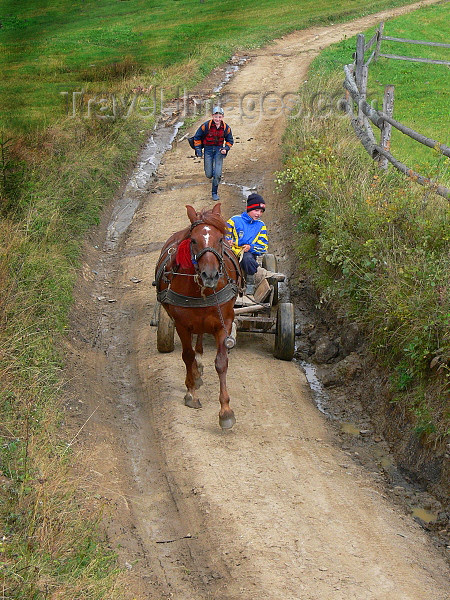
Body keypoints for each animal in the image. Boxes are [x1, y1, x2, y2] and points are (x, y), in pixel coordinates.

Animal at [154, 204, 243, 428]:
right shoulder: (181, 324)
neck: (201, 290)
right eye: (193, 240)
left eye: (220, 239)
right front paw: (191, 393)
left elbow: (221, 362)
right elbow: (187, 356)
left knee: (201, 338)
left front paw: (225, 411)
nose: (210, 275)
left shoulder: (224, 322)